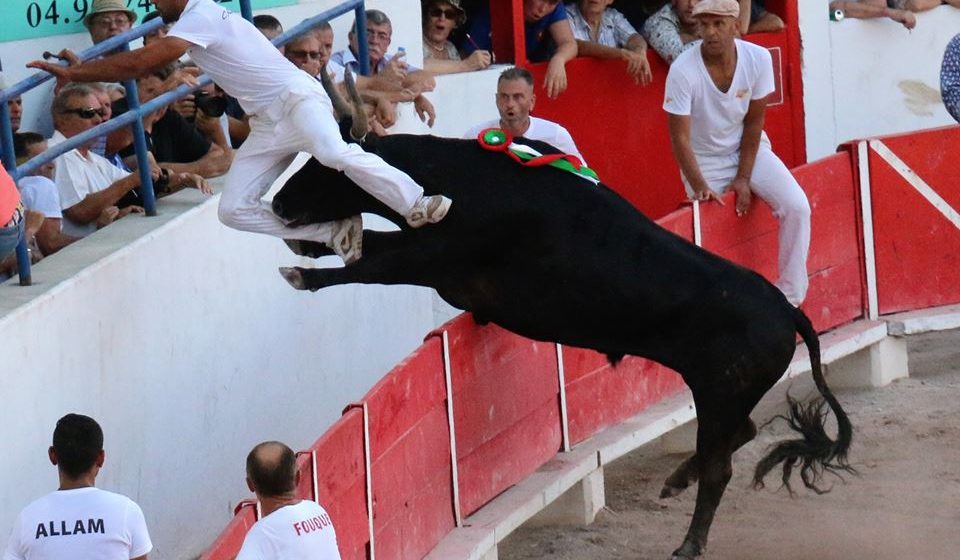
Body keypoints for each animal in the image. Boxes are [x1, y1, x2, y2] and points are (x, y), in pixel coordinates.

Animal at [272, 133, 856, 556]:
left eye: (325, 166)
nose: (278, 203)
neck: (464, 179)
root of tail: (787, 308)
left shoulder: (437, 259)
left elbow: (371, 262)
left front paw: (301, 274)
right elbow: (369, 246)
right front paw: (311, 250)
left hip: (720, 391)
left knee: (721, 467)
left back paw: (688, 545)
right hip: (723, 394)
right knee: (742, 433)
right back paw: (674, 482)